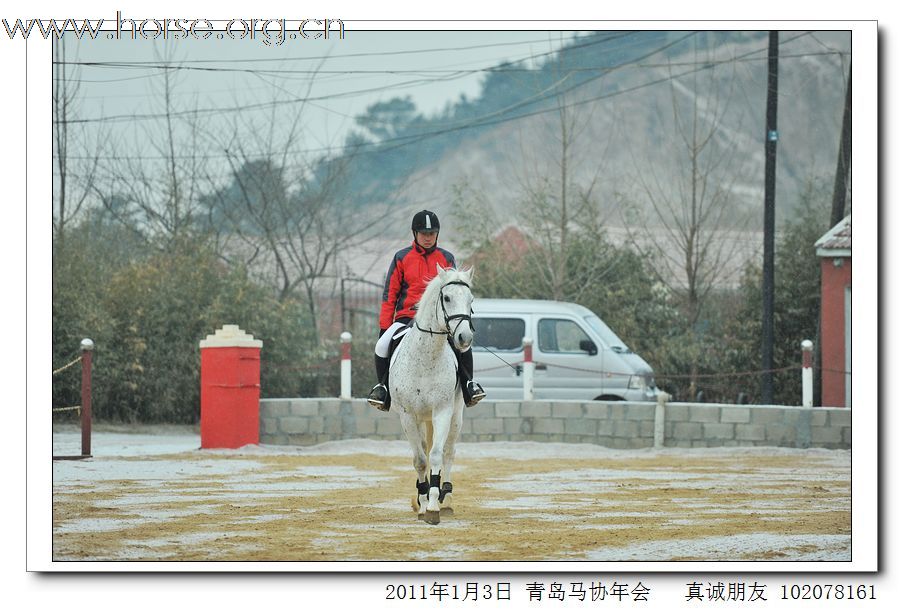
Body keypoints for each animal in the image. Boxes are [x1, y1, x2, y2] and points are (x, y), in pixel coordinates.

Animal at [386, 266, 474, 524]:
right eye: (447, 298)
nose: (465, 338)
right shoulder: (407, 416)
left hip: (455, 416)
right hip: (420, 419)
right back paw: (421, 497)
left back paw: (447, 499)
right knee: (424, 450)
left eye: (471, 300)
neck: (426, 358)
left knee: (448, 452)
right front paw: (423, 503)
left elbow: (436, 456)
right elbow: (420, 460)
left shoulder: (442, 411)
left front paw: (434, 506)